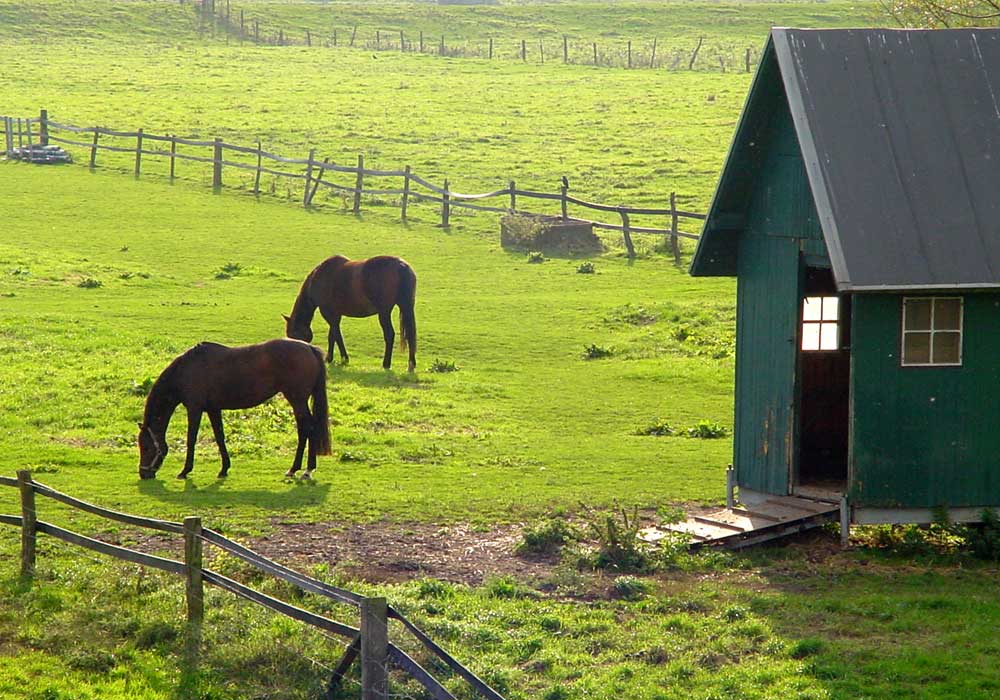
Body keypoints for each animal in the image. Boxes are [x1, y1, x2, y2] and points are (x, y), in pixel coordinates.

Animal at [138, 340, 332, 482]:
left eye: (146, 447)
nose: (143, 473)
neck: (186, 370)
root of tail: (309, 348)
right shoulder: (213, 409)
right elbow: (219, 437)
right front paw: (224, 468)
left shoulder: (195, 409)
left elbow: (191, 439)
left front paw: (185, 471)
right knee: (305, 429)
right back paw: (299, 469)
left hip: (297, 400)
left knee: (308, 428)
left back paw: (303, 469)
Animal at [284, 253, 416, 372]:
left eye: (293, 335)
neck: (319, 278)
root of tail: (401, 265)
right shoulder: (335, 314)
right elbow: (332, 335)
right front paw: (330, 358)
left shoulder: (329, 313)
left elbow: (336, 335)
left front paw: (342, 359)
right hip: (406, 307)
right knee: (410, 334)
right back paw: (411, 365)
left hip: (384, 312)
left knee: (389, 334)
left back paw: (386, 364)